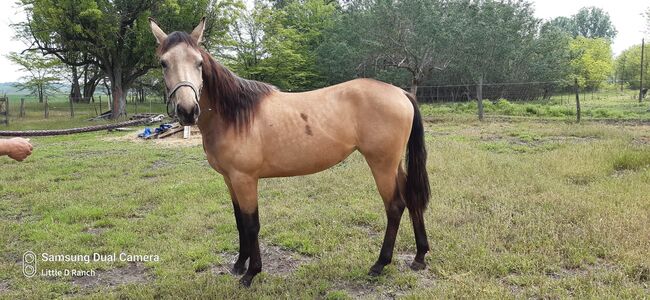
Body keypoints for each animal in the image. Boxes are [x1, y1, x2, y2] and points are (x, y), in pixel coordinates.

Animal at [147, 17, 430, 288]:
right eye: (163, 63)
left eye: (198, 62)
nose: (187, 110)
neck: (235, 114)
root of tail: (400, 92)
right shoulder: (230, 179)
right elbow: (239, 221)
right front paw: (239, 264)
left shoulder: (245, 179)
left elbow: (251, 225)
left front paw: (251, 274)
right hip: (394, 165)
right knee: (412, 198)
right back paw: (419, 257)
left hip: (382, 164)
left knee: (395, 206)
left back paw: (380, 264)